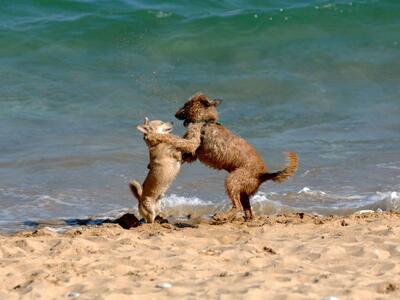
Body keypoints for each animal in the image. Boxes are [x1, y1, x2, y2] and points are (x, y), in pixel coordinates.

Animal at [145, 92, 298, 221]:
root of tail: (262, 175)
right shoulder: (193, 152)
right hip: (243, 190)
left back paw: (222, 216)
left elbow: (173, 139)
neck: (205, 120)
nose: (175, 114)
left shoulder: (192, 144)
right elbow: (182, 153)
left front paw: (154, 136)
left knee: (237, 206)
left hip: (232, 180)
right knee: (248, 210)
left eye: (186, 105)